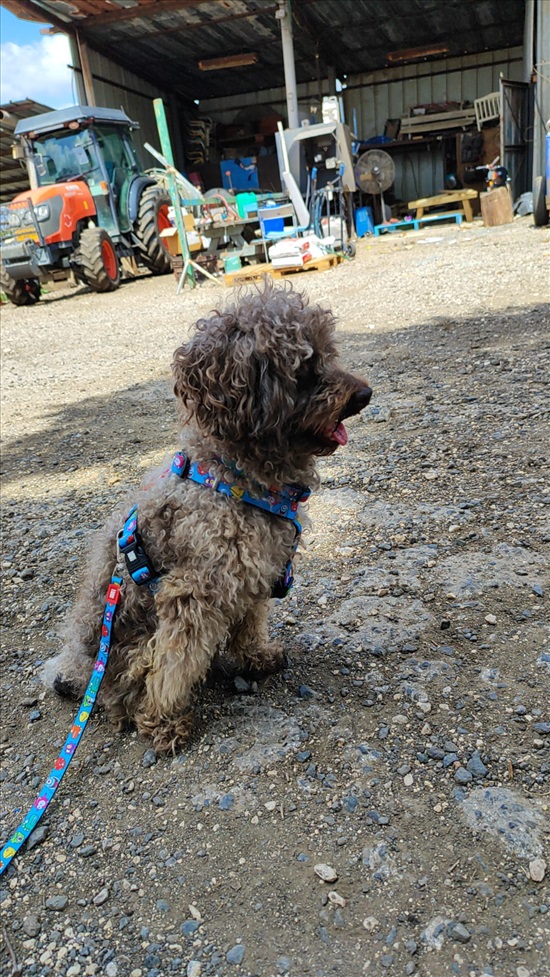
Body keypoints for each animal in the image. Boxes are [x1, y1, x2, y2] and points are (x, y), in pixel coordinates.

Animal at [42, 278, 370, 752]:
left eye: (329, 353)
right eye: (304, 368)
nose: (365, 394)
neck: (233, 479)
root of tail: (78, 670)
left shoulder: (253, 576)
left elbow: (250, 624)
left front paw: (257, 658)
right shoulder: (193, 592)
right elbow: (174, 665)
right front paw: (164, 720)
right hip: (126, 649)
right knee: (126, 692)